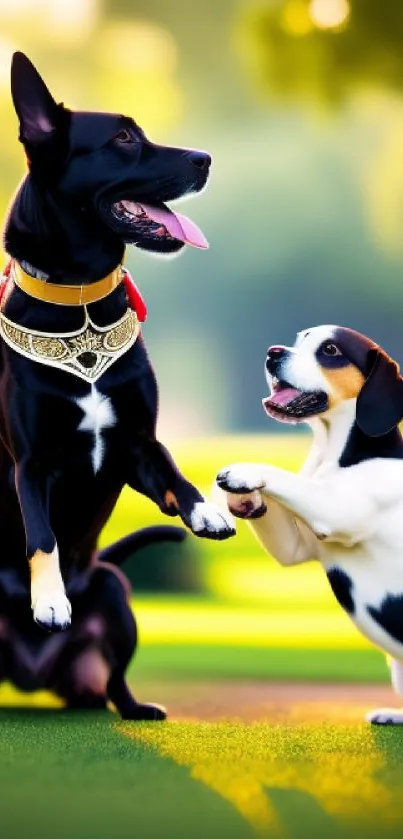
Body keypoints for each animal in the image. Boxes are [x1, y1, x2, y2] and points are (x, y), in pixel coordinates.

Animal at [0, 54, 235, 720]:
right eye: (124, 140)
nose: (206, 158)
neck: (79, 304)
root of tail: (31, 676)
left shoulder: (136, 444)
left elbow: (174, 472)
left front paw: (206, 510)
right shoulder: (30, 462)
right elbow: (42, 533)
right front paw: (50, 599)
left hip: (114, 591)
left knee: (113, 682)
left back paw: (133, 706)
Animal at [218, 324, 403, 724]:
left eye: (330, 350)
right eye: (298, 339)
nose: (272, 352)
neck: (335, 454)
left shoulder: (336, 508)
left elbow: (284, 477)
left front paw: (244, 471)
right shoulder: (295, 546)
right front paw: (244, 498)